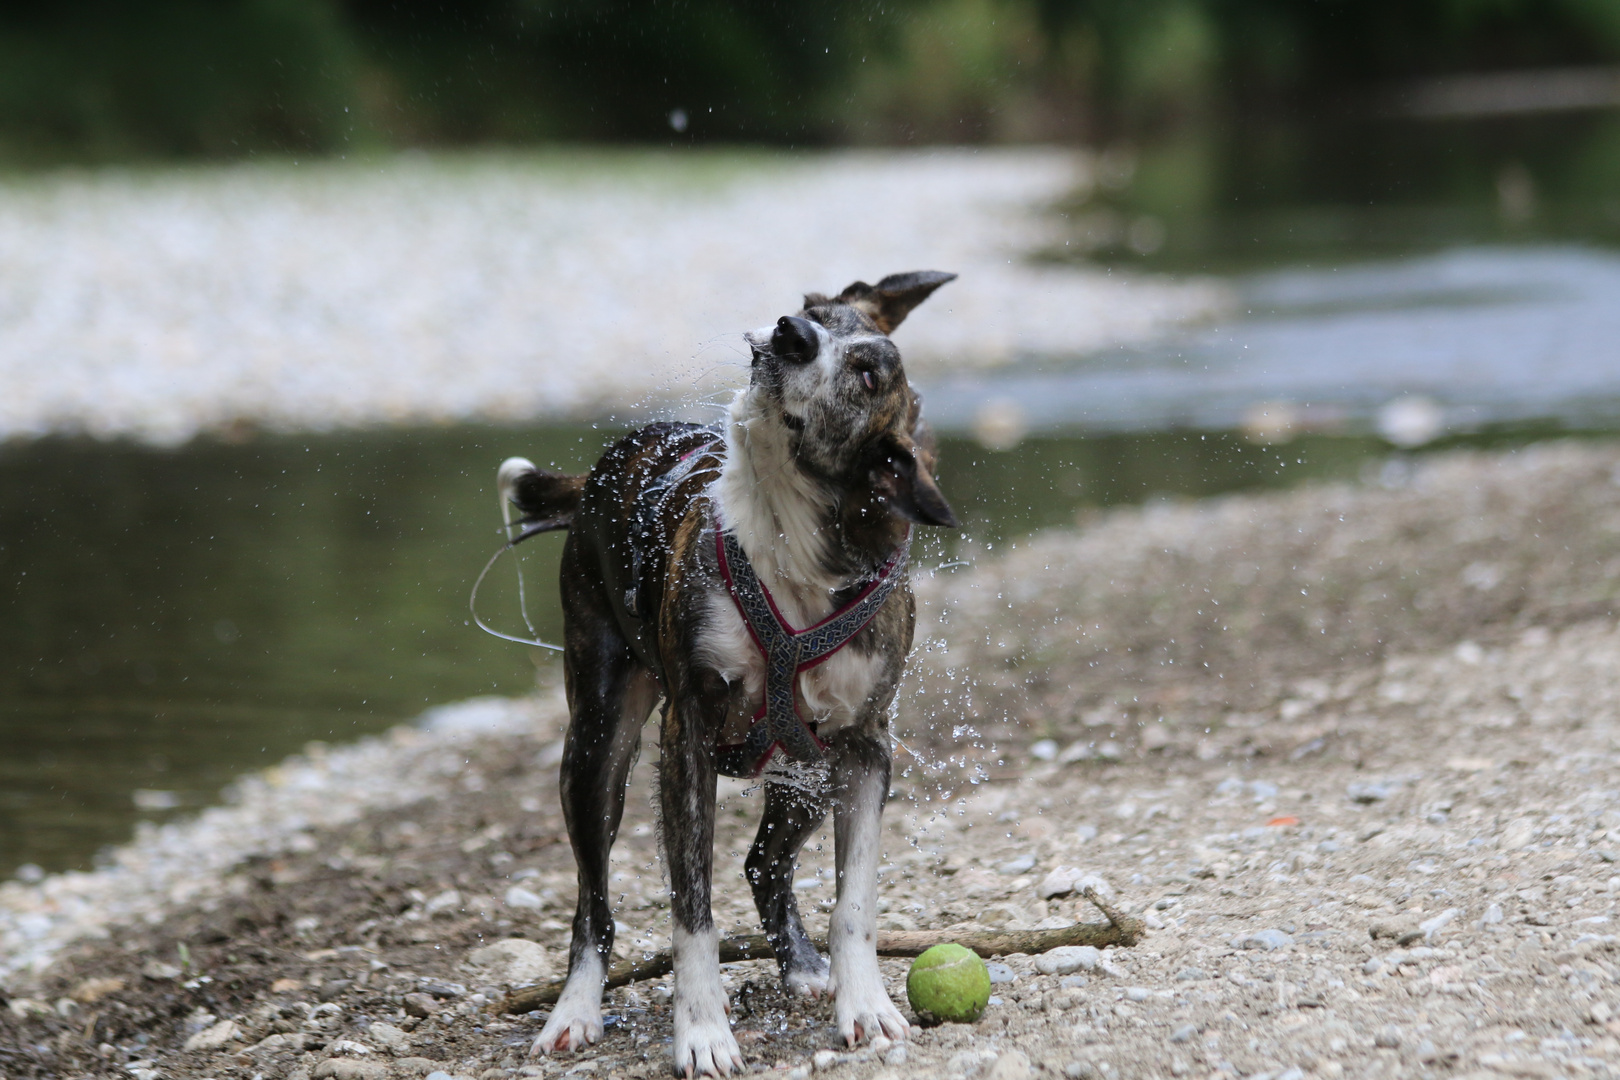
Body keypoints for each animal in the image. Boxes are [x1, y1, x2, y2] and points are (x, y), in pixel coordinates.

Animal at [498, 270, 952, 1075]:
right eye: (814, 311)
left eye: (868, 374)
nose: (790, 335)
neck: (791, 536)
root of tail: (604, 468)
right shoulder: (689, 736)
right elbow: (692, 910)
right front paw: (703, 1032)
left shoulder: (864, 747)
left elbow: (855, 902)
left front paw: (865, 1005)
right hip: (597, 747)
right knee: (592, 903)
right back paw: (574, 1010)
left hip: (807, 765)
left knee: (764, 863)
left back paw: (803, 968)